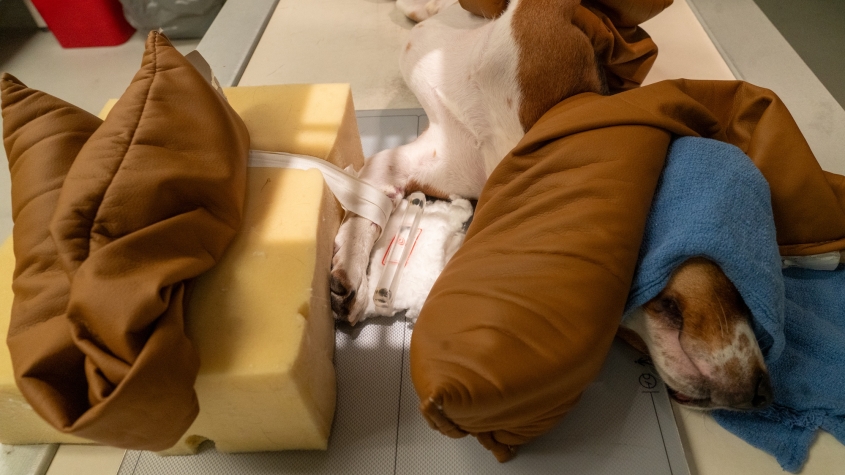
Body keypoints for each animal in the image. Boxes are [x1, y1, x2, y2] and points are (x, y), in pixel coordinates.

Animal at [328, 0, 772, 410]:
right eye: (735, 291)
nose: (763, 394)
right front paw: (352, 274)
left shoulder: (425, 163)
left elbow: (371, 200)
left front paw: (357, 287)